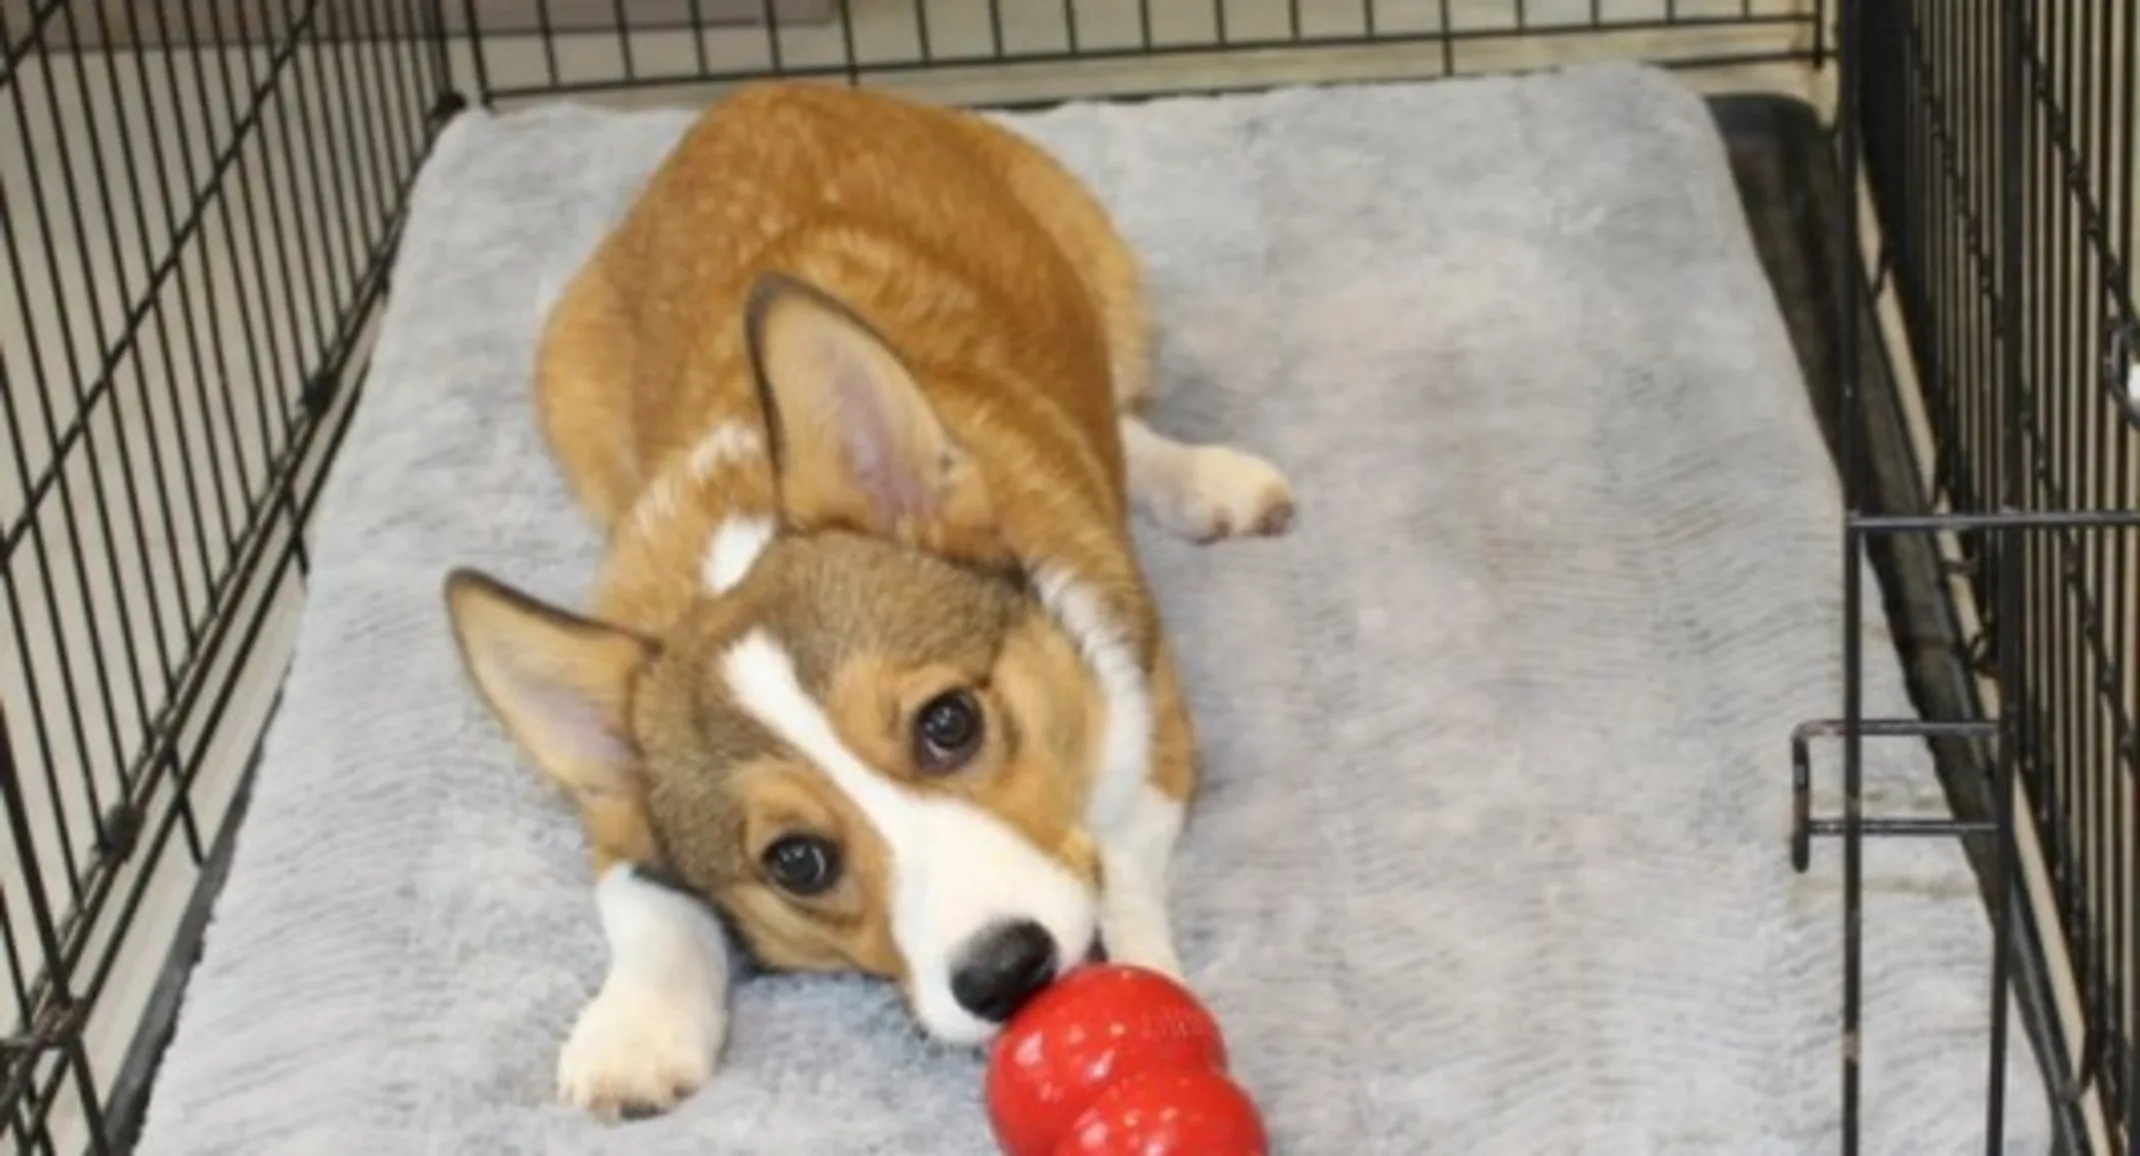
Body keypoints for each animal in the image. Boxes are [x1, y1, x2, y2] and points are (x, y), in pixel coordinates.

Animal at [442, 83, 1292, 1130]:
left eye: (949, 722)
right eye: (797, 861)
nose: (1007, 971)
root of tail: (757, 93)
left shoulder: (1152, 722)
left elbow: (1124, 864)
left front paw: (1145, 978)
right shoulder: (616, 819)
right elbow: (645, 900)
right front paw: (633, 1036)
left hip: (1107, 276)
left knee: (1129, 422)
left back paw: (1211, 482)